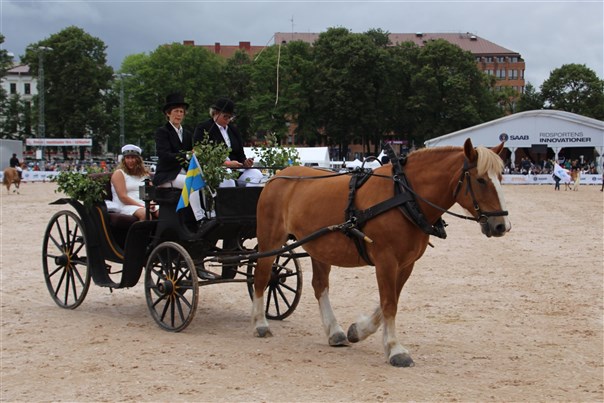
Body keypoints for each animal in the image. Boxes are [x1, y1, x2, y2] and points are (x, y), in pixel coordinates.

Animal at [252, 137, 512, 368]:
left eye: (500, 177)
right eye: (480, 180)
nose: (502, 226)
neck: (404, 197)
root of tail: (278, 176)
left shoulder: (406, 264)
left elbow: (391, 299)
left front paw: (359, 330)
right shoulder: (386, 261)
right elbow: (389, 303)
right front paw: (395, 349)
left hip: (319, 247)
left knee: (320, 286)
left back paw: (334, 332)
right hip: (271, 242)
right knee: (261, 277)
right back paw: (260, 323)